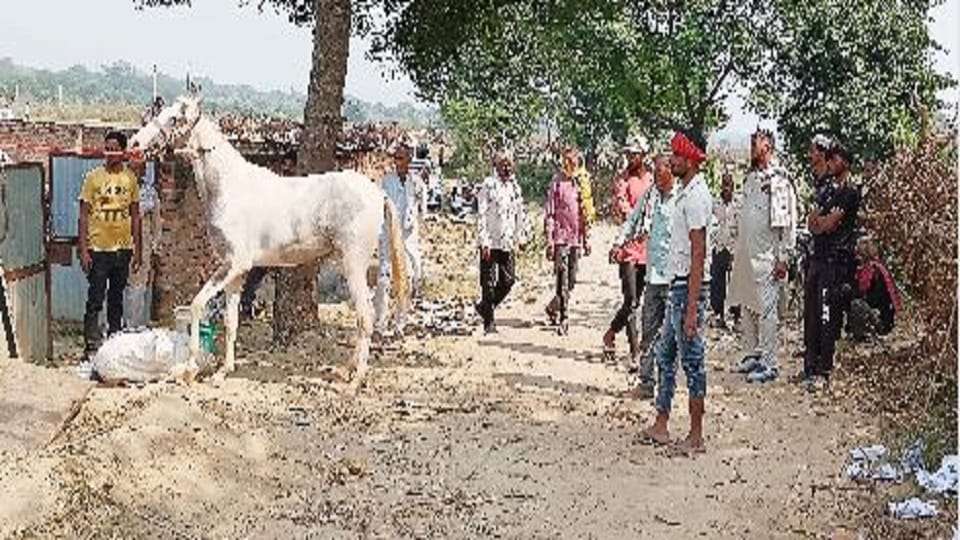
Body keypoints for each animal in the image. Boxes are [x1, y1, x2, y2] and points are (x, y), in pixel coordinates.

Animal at [128, 92, 409, 383]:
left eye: (174, 118)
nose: (134, 144)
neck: (230, 188)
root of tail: (377, 193)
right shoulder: (236, 272)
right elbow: (230, 321)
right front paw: (223, 371)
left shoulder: (233, 265)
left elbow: (196, 305)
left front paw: (190, 369)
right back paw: (345, 369)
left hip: (354, 264)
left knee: (366, 316)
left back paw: (355, 381)